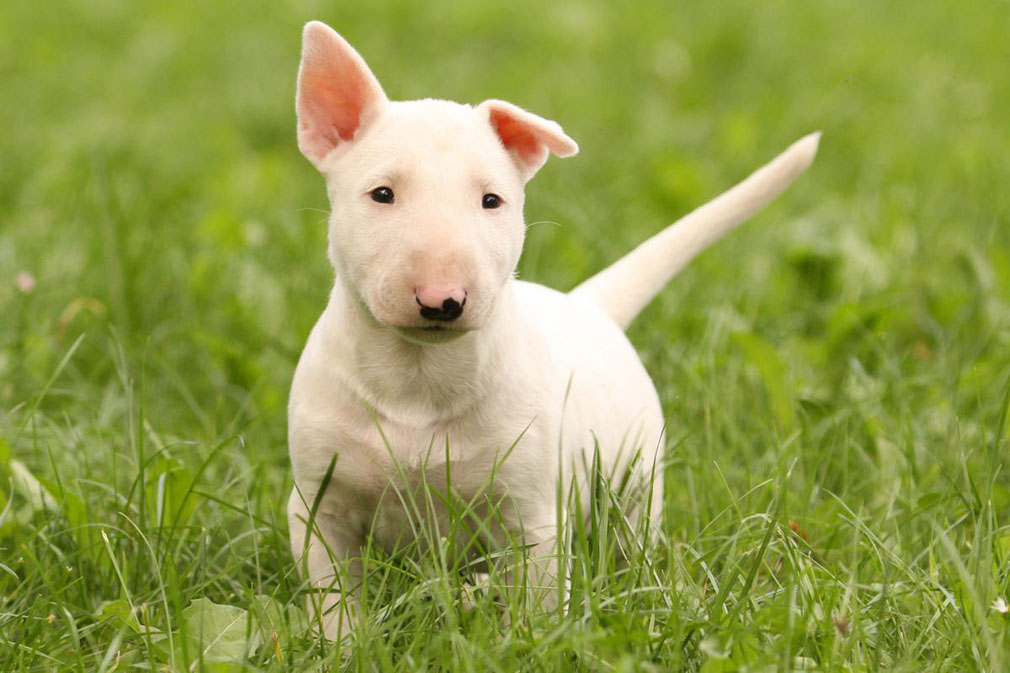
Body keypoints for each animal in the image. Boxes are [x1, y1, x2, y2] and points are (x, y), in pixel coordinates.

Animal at [286, 20, 820, 638]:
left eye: (492, 200)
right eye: (382, 194)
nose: (443, 300)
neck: (416, 377)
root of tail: (589, 306)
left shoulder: (533, 515)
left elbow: (539, 603)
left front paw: (533, 643)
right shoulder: (318, 507)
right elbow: (333, 597)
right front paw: (341, 645)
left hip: (636, 483)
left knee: (630, 543)